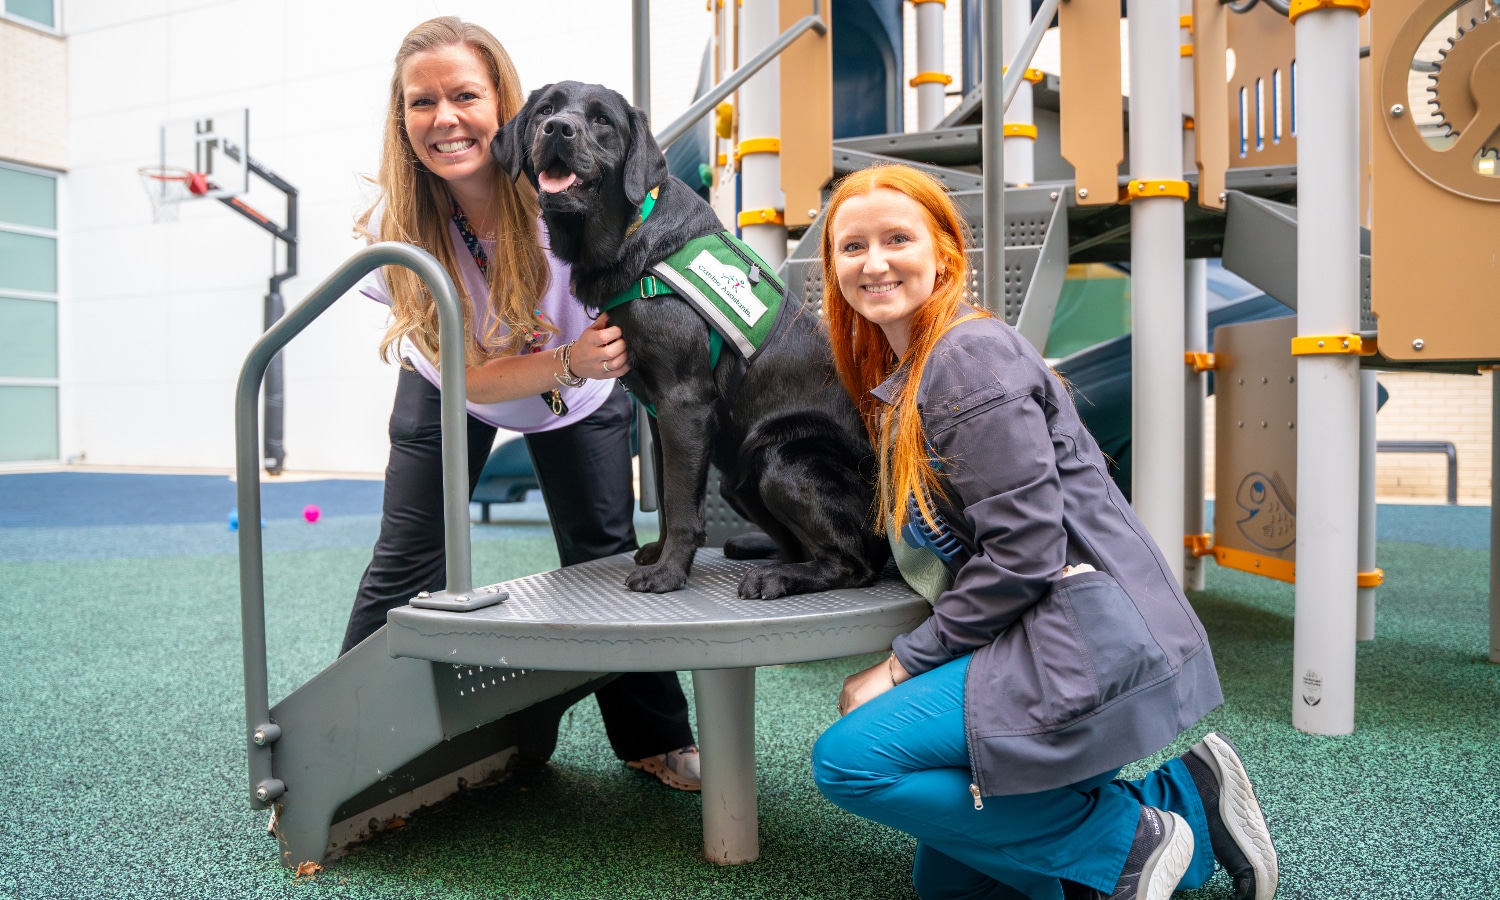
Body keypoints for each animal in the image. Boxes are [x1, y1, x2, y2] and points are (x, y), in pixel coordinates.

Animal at [498, 79, 882, 597]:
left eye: (601, 120)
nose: (558, 129)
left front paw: (667, 574)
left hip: (780, 457)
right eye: (544, 110)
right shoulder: (659, 414)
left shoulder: (684, 402)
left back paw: (775, 577)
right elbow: (667, 495)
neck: (631, 237)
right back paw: (756, 548)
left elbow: (680, 504)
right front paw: (661, 554)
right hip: (736, 476)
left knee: (853, 564)